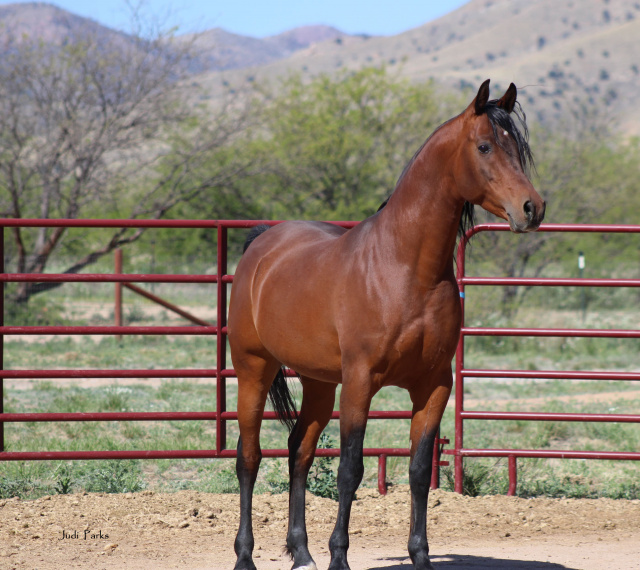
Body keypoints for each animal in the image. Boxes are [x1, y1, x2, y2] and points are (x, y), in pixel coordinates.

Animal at [228, 80, 544, 568]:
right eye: (485, 146)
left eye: (519, 150)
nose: (532, 208)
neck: (404, 267)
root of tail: (262, 245)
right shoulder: (360, 383)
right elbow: (350, 469)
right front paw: (340, 557)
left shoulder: (434, 386)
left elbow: (417, 470)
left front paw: (421, 556)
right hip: (254, 371)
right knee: (249, 457)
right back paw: (246, 556)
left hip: (319, 383)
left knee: (299, 451)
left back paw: (302, 553)